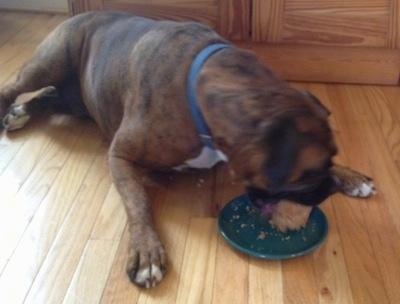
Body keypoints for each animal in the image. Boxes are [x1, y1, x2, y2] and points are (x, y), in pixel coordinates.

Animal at [0, 11, 376, 288]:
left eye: (330, 161)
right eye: (306, 177)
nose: (328, 190)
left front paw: (350, 176)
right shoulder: (119, 155)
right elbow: (138, 202)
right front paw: (147, 250)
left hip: (72, 99)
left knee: (51, 97)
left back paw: (21, 113)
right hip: (49, 62)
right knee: (15, 86)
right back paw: (12, 111)